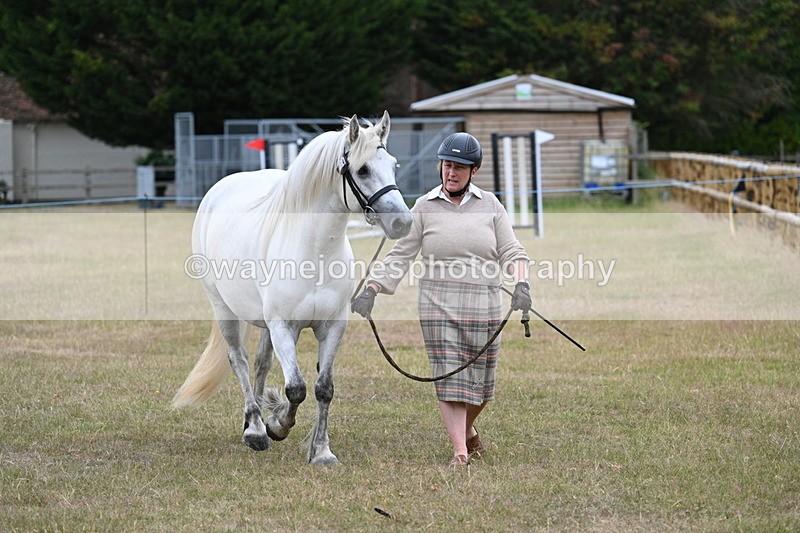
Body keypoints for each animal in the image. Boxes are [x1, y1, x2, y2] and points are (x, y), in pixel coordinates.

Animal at [172, 111, 412, 465]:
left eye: (393, 165)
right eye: (363, 169)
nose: (402, 222)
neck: (315, 251)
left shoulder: (331, 327)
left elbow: (323, 388)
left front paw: (321, 451)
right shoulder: (284, 326)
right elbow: (296, 388)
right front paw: (278, 426)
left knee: (261, 363)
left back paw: (254, 421)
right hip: (224, 308)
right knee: (239, 361)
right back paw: (256, 431)